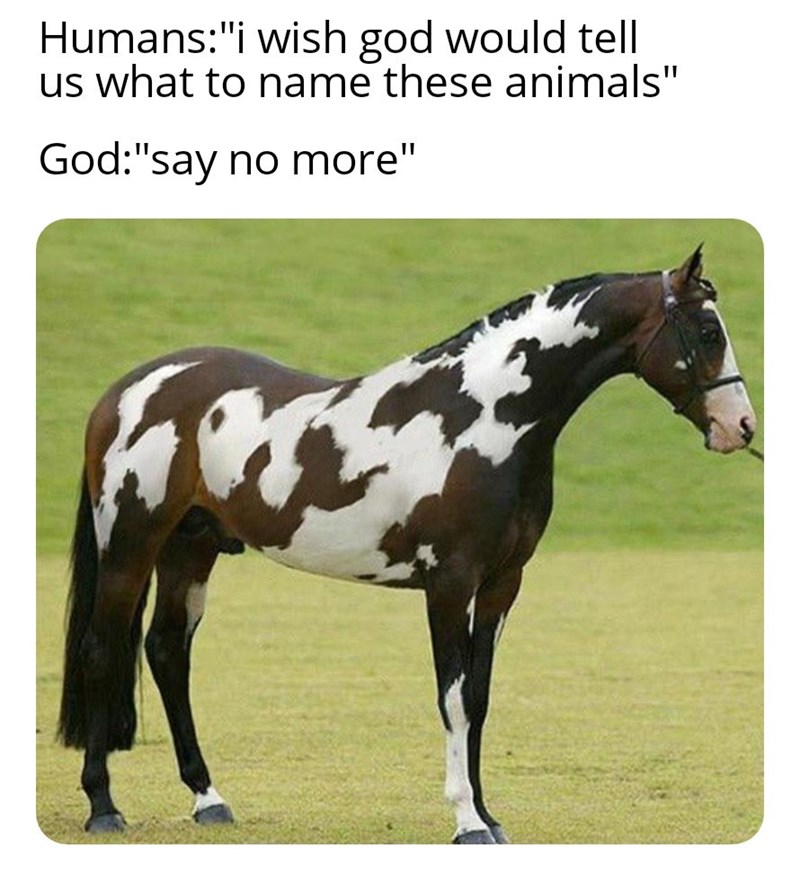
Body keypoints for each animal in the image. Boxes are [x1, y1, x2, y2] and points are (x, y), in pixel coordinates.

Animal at [57, 245, 757, 842]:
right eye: (707, 332)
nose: (741, 427)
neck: (485, 417)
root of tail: (123, 392)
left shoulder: (502, 584)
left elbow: (478, 697)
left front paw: (489, 814)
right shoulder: (449, 583)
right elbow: (451, 696)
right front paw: (466, 821)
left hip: (191, 549)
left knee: (167, 651)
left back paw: (209, 799)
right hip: (129, 546)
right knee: (100, 649)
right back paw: (103, 807)